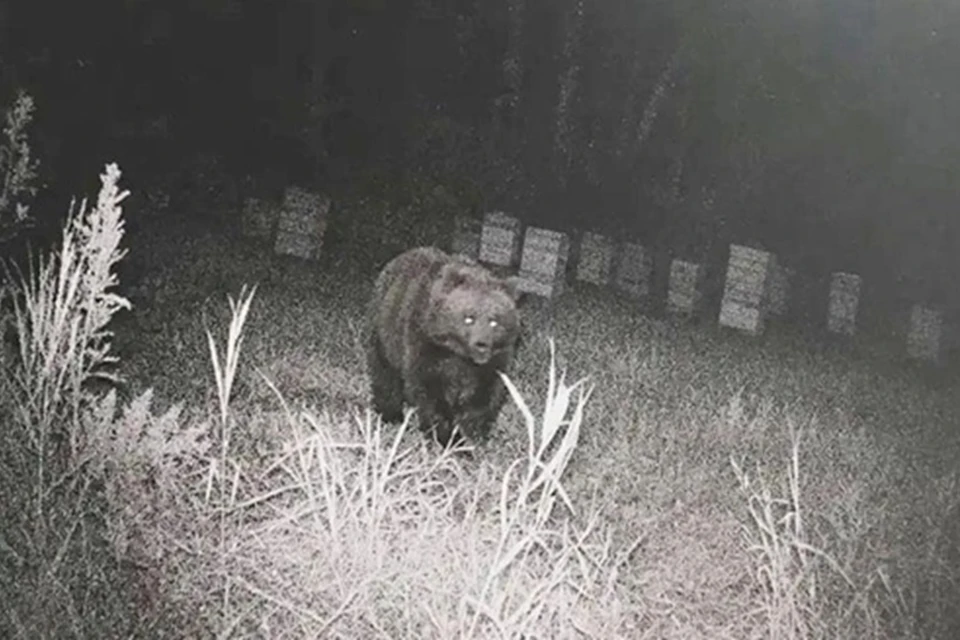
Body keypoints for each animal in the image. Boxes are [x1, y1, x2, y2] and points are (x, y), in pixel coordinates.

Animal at [367, 246, 523, 447]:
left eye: (494, 321)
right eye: (468, 318)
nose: (481, 345)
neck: (459, 354)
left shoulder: (496, 358)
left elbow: (485, 394)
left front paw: (472, 434)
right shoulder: (424, 344)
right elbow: (430, 391)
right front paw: (445, 436)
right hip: (385, 329)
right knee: (385, 370)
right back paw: (390, 414)